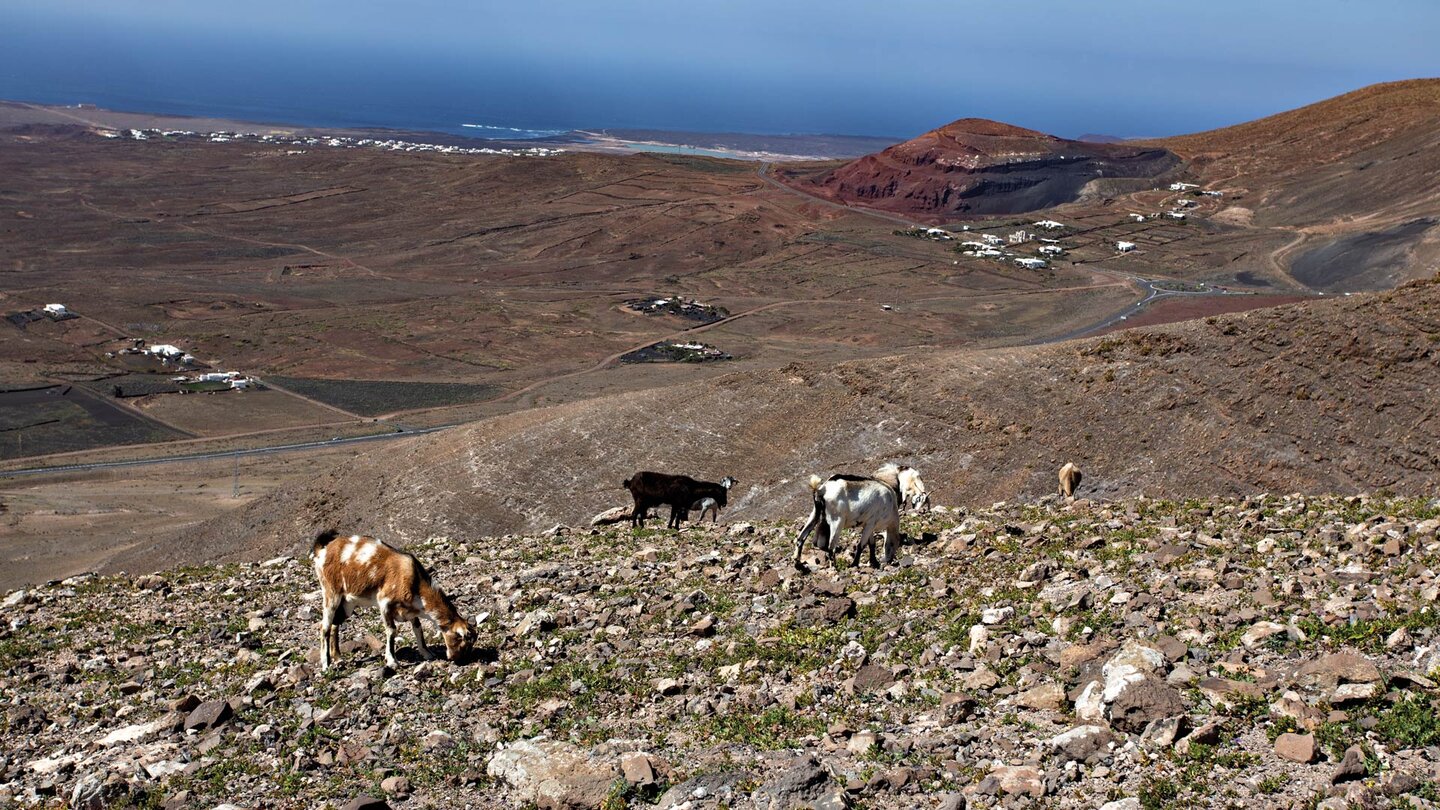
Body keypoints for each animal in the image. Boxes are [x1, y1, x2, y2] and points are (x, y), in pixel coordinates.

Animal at [312, 530, 475, 668]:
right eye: (464, 642)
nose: (457, 660)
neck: (414, 581)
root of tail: (323, 550)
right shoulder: (385, 603)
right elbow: (392, 631)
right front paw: (392, 661)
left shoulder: (410, 611)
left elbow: (418, 629)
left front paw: (427, 654)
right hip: (331, 593)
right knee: (325, 626)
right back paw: (326, 665)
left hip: (347, 603)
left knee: (335, 624)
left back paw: (338, 658)